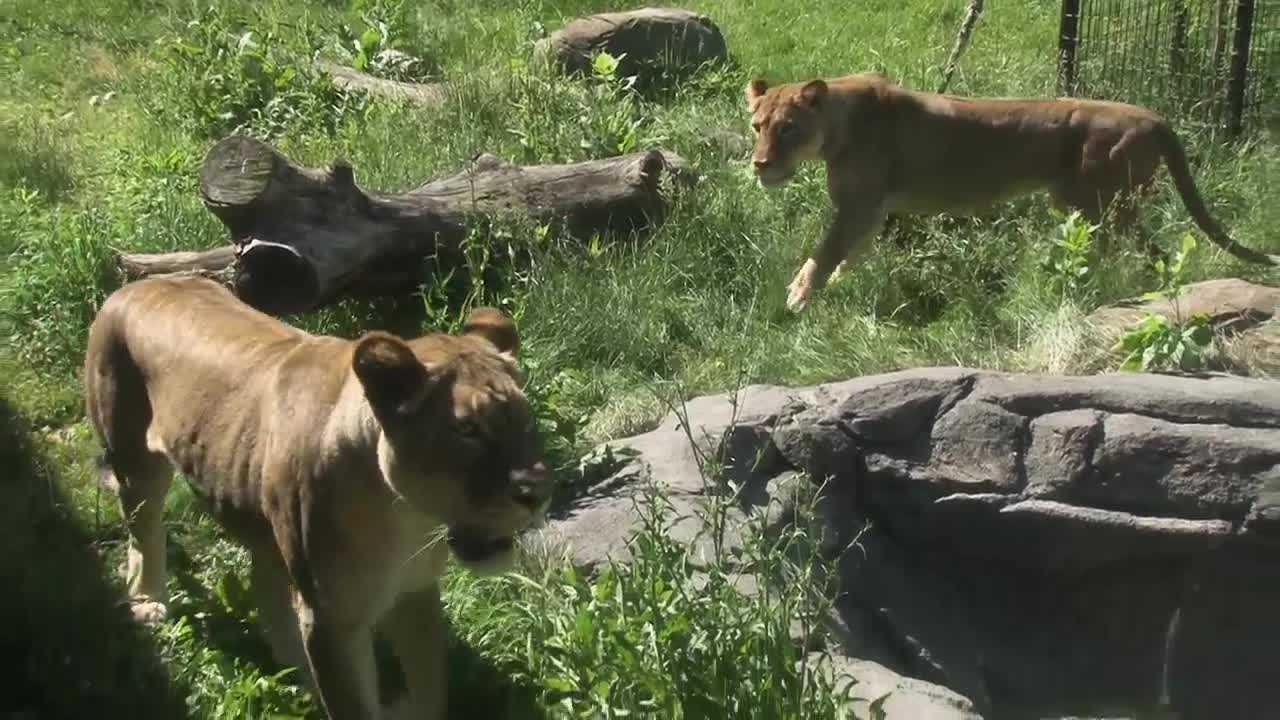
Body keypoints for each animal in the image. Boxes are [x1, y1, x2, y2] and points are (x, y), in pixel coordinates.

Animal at [83, 276, 552, 720]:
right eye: (467, 430)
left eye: (524, 419)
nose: (539, 493)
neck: (407, 519)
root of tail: (134, 286)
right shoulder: (332, 622)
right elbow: (353, 707)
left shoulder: (414, 592)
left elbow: (430, 691)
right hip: (134, 461)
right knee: (144, 530)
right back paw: (147, 602)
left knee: (268, 595)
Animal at [745, 72, 1280, 312]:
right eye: (757, 126)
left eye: (788, 128)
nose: (759, 164)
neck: (835, 125)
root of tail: (1153, 117)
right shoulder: (871, 209)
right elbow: (848, 255)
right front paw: (836, 289)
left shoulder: (856, 206)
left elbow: (824, 253)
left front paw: (797, 300)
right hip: (1088, 206)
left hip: (1103, 204)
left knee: (1149, 253)